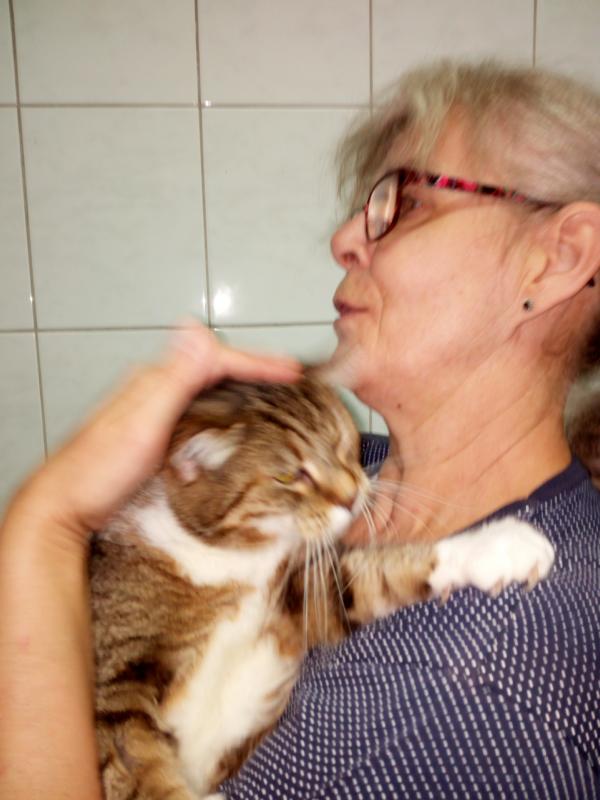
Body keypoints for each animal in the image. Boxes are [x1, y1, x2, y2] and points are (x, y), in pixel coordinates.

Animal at [90, 377, 554, 800]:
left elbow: (371, 576)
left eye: (337, 442)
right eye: (285, 475)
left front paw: (497, 547)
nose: (351, 497)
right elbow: (135, 766)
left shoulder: (296, 596)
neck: (232, 558)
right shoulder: (116, 684)